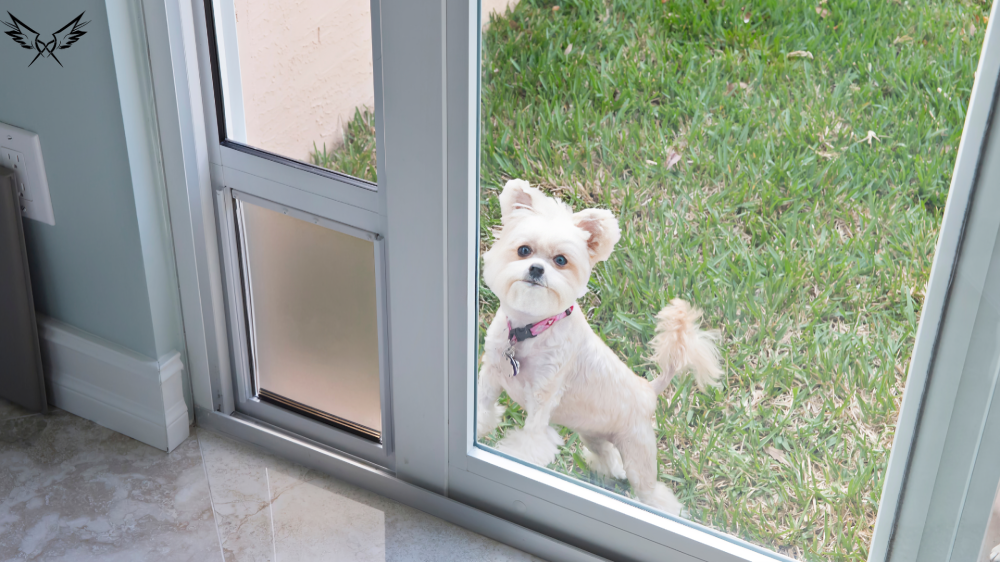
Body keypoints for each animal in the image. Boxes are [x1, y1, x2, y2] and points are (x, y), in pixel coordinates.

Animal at [476, 178, 720, 512]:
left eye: (561, 260)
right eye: (524, 250)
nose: (537, 269)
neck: (531, 329)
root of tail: (648, 389)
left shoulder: (543, 395)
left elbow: (530, 441)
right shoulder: (490, 374)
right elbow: (483, 408)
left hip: (639, 454)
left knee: (652, 492)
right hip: (594, 435)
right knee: (607, 456)